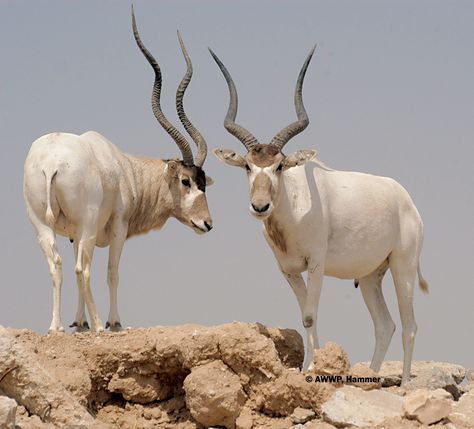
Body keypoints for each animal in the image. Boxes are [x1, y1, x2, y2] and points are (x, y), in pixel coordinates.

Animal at [23, 8, 213, 332]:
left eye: (203, 181)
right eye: (186, 181)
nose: (207, 223)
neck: (125, 168)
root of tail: (50, 163)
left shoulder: (73, 235)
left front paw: (79, 323)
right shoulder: (118, 227)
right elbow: (112, 271)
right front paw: (114, 322)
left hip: (42, 225)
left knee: (58, 265)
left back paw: (55, 327)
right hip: (87, 223)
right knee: (82, 269)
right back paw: (100, 324)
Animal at [209, 46, 428, 384]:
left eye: (279, 165)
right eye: (247, 165)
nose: (260, 206)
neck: (294, 206)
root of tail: (405, 200)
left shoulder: (316, 263)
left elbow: (311, 315)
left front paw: (312, 369)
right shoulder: (288, 270)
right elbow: (304, 316)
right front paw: (307, 366)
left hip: (403, 266)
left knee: (409, 326)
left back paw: (403, 384)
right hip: (370, 276)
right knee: (385, 325)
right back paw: (370, 376)